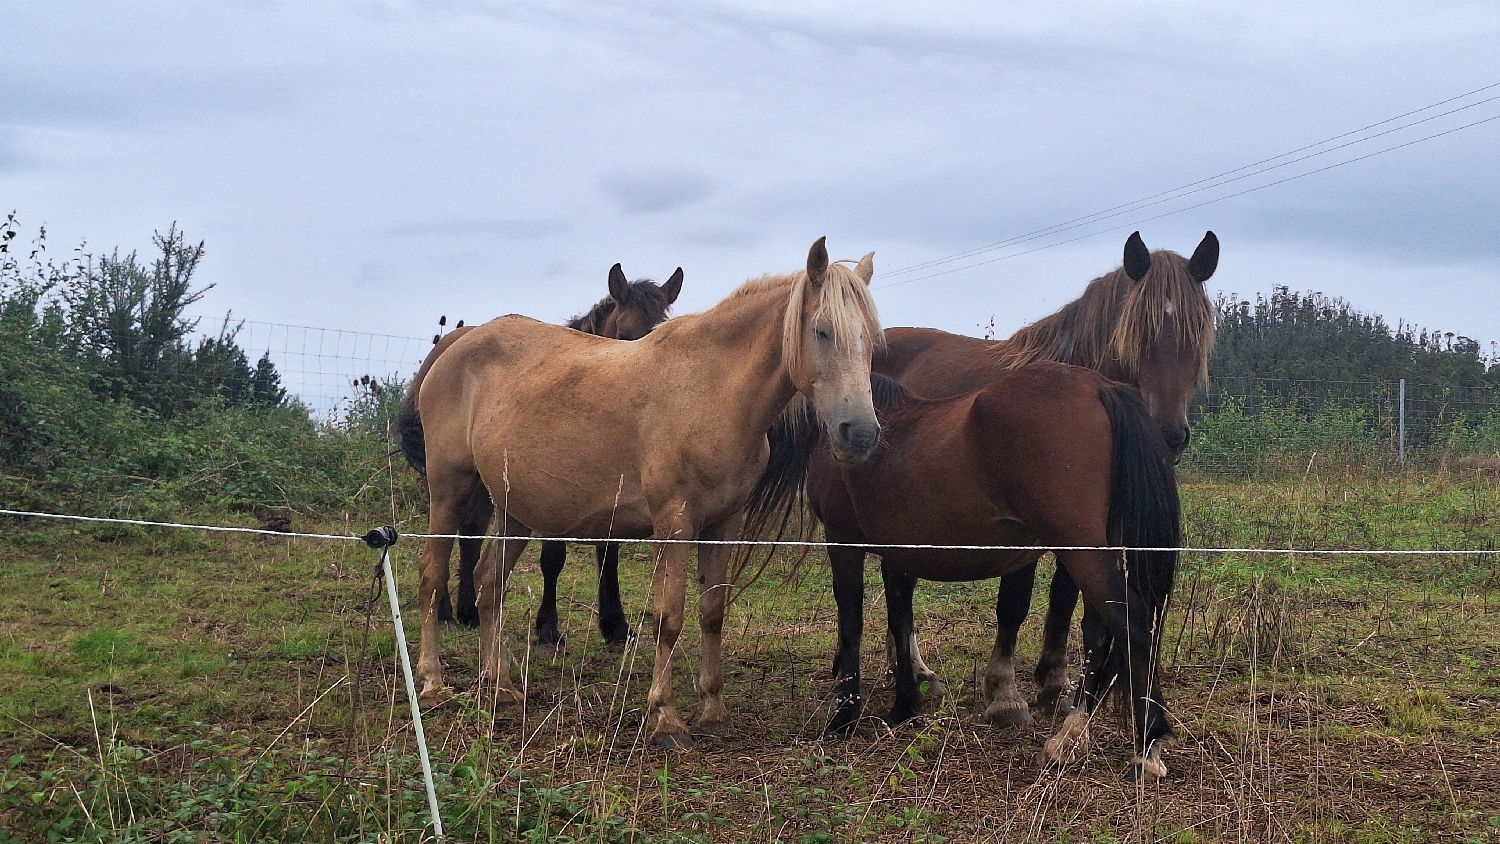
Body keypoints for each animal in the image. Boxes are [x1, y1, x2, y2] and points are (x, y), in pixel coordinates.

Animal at [396, 263, 684, 647]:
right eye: (624, 332)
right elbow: (553, 558)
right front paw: (548, 627)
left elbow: (609, 553)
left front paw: (616, 626)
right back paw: (444, 613)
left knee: (471, 531)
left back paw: (468, 610)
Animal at [798, 367, 1182, 785]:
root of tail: (1100, 386)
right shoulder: (898, 551)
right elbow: (900, 619)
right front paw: (905, 705)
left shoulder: (842, 540)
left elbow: (852, 619)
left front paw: (845, 716)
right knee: (1099, 632)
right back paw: (1071, 736)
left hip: (1079, 547)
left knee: (1130, 622)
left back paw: (1146, 746)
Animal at [870, 232, 1218, 725]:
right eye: (1136, 335)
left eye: (1198, 334)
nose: (1169, 436)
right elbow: (1014, 603)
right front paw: (1004, 693)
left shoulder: (1086, 528)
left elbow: (1065, 597)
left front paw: (1054, 685)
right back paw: (914, 671)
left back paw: (912, 670)